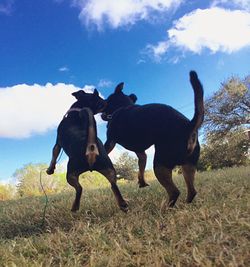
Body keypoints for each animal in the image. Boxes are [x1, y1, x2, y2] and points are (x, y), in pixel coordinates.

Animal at [102, 71, 204, 207]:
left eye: (106, 100)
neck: (123, 106)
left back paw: (166, 208)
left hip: (160, 165)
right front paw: (142, 182)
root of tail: (189, 126)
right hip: (188, 166)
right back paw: (185, 204)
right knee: (192, 191)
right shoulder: (141, 152)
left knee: (174, 192)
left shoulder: (110, 142)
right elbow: (141, 167)